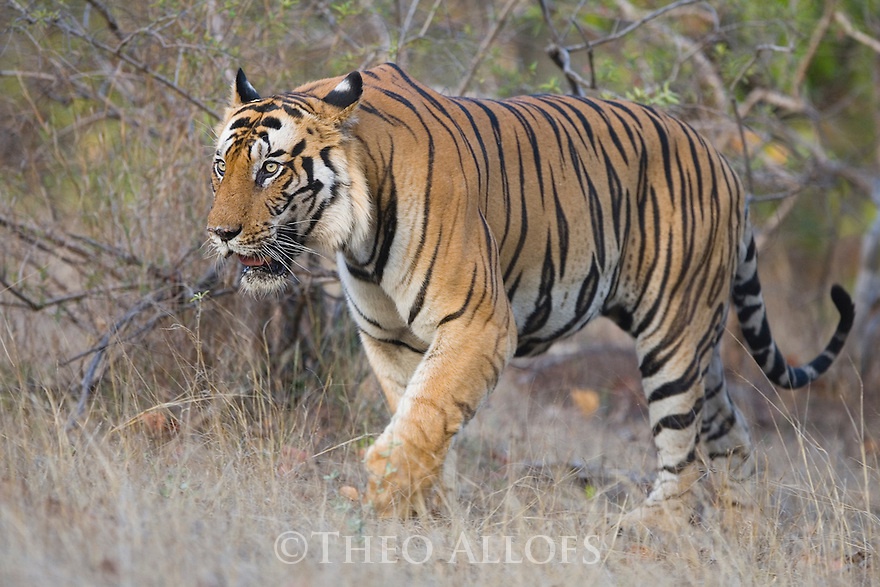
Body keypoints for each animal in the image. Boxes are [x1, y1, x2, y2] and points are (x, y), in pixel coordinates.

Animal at [206, 63, 854, 523]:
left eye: (269, 169)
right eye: (221, 167)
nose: (219, 233)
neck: (357, 233)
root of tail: (725, 165)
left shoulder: (479, 323)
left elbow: (423, 417)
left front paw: (386, 494)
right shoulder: (389, 338)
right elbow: (418, 413)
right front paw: (422, 509)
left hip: (672, 335)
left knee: (686, 454)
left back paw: (646, 534)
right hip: (700, 345)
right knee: (731, 438)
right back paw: (741, 541)